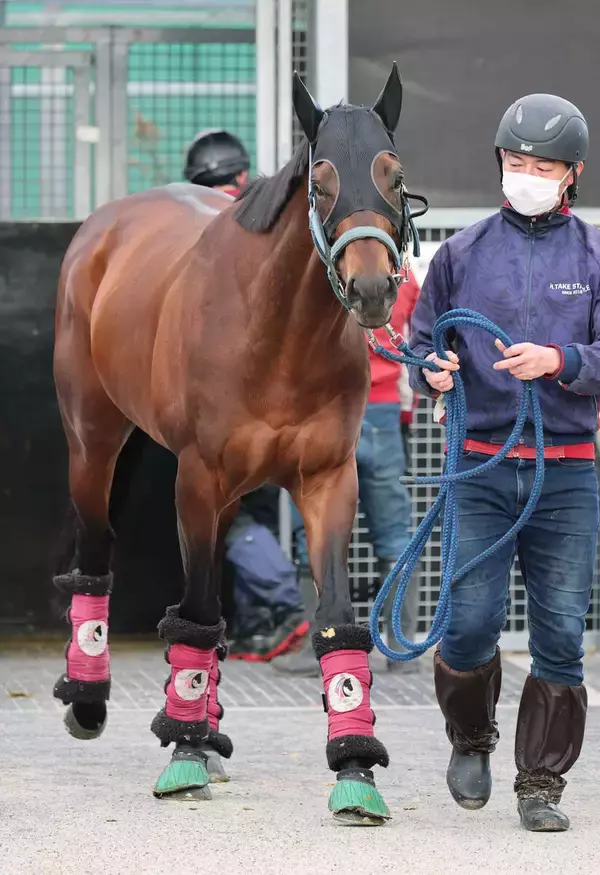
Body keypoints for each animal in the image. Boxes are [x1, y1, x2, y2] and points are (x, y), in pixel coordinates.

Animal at [52, 64, 419, 823]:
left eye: (394, 175)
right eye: (321, 180)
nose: (372, 287)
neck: (276, 332)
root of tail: (105, 225)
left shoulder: (328, 479)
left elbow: (333, 618)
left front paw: (355, 768)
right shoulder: (197, 477)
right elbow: (195, 611)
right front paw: (184, 754)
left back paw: (205, 726)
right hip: (93, 439)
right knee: (99, 547)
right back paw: (93, 699)